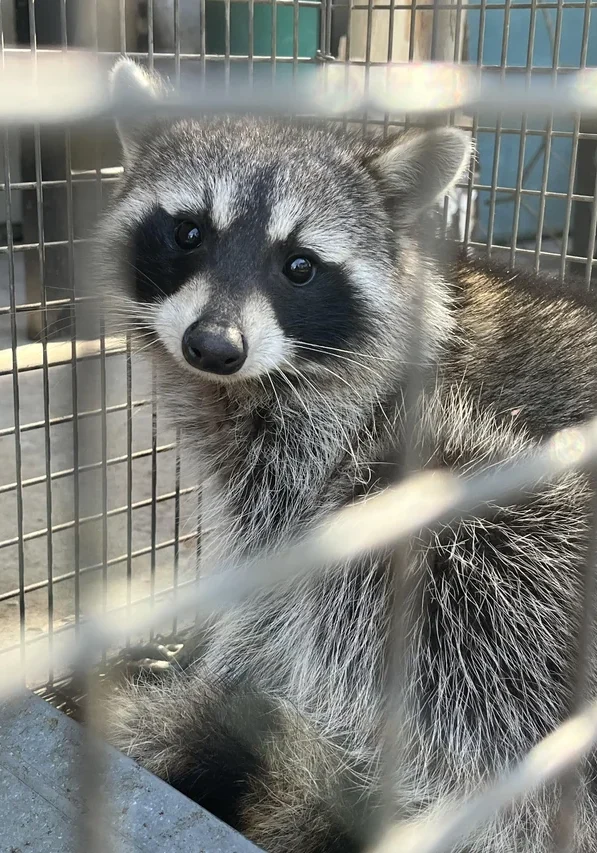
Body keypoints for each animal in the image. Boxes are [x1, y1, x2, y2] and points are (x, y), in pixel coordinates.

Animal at [98, 58, 597, 853]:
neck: (249, 385)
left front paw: (217, 671)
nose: (213, 346)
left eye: (299, 266)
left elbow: (274, 593)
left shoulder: (334, 440)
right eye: (188, 231)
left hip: (508, 555)